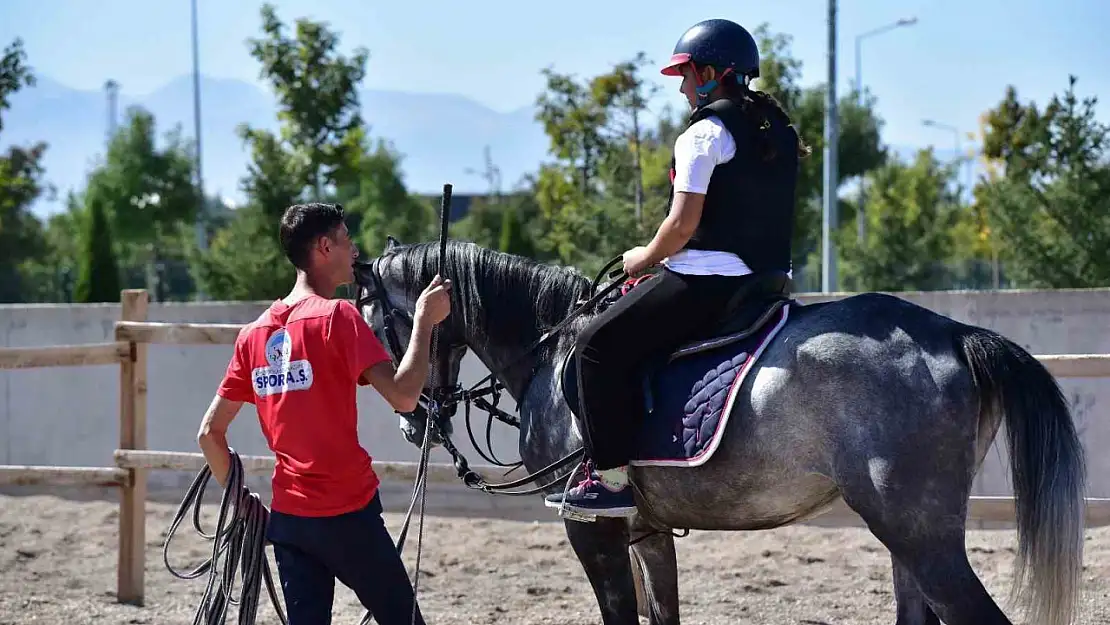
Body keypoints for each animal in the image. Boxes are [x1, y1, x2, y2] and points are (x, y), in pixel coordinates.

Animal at [355, 238, 1083, 625]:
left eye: (375, 320)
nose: (412, 418)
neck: (553, 349)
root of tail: (955, 333)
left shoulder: (590, 528)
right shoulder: (643, 529)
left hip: (919, 533)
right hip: (909, 537)